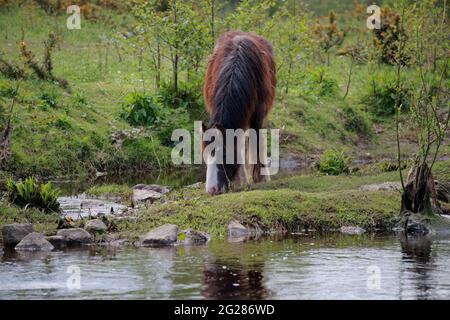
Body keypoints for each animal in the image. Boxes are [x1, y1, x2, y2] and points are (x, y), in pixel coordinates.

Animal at [203, 31, 274, 195]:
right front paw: (241, 179)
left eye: (223, 154)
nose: (211, 189)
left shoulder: (258, 116)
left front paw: (259, 177)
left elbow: (256, 140)